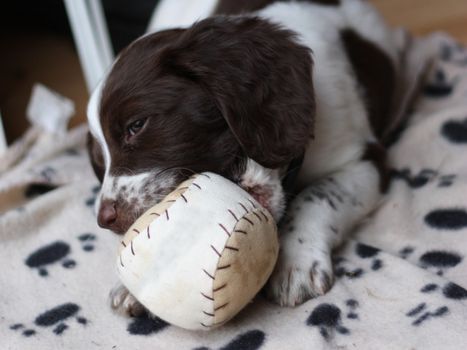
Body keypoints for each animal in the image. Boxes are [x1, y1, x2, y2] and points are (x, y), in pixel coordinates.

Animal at [87, 0, 398, 314]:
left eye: (136, 125)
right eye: (99, 162)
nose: (105, 219)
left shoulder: (364, 160)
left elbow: (318, 195)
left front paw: (296, 263)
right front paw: (136, 286)